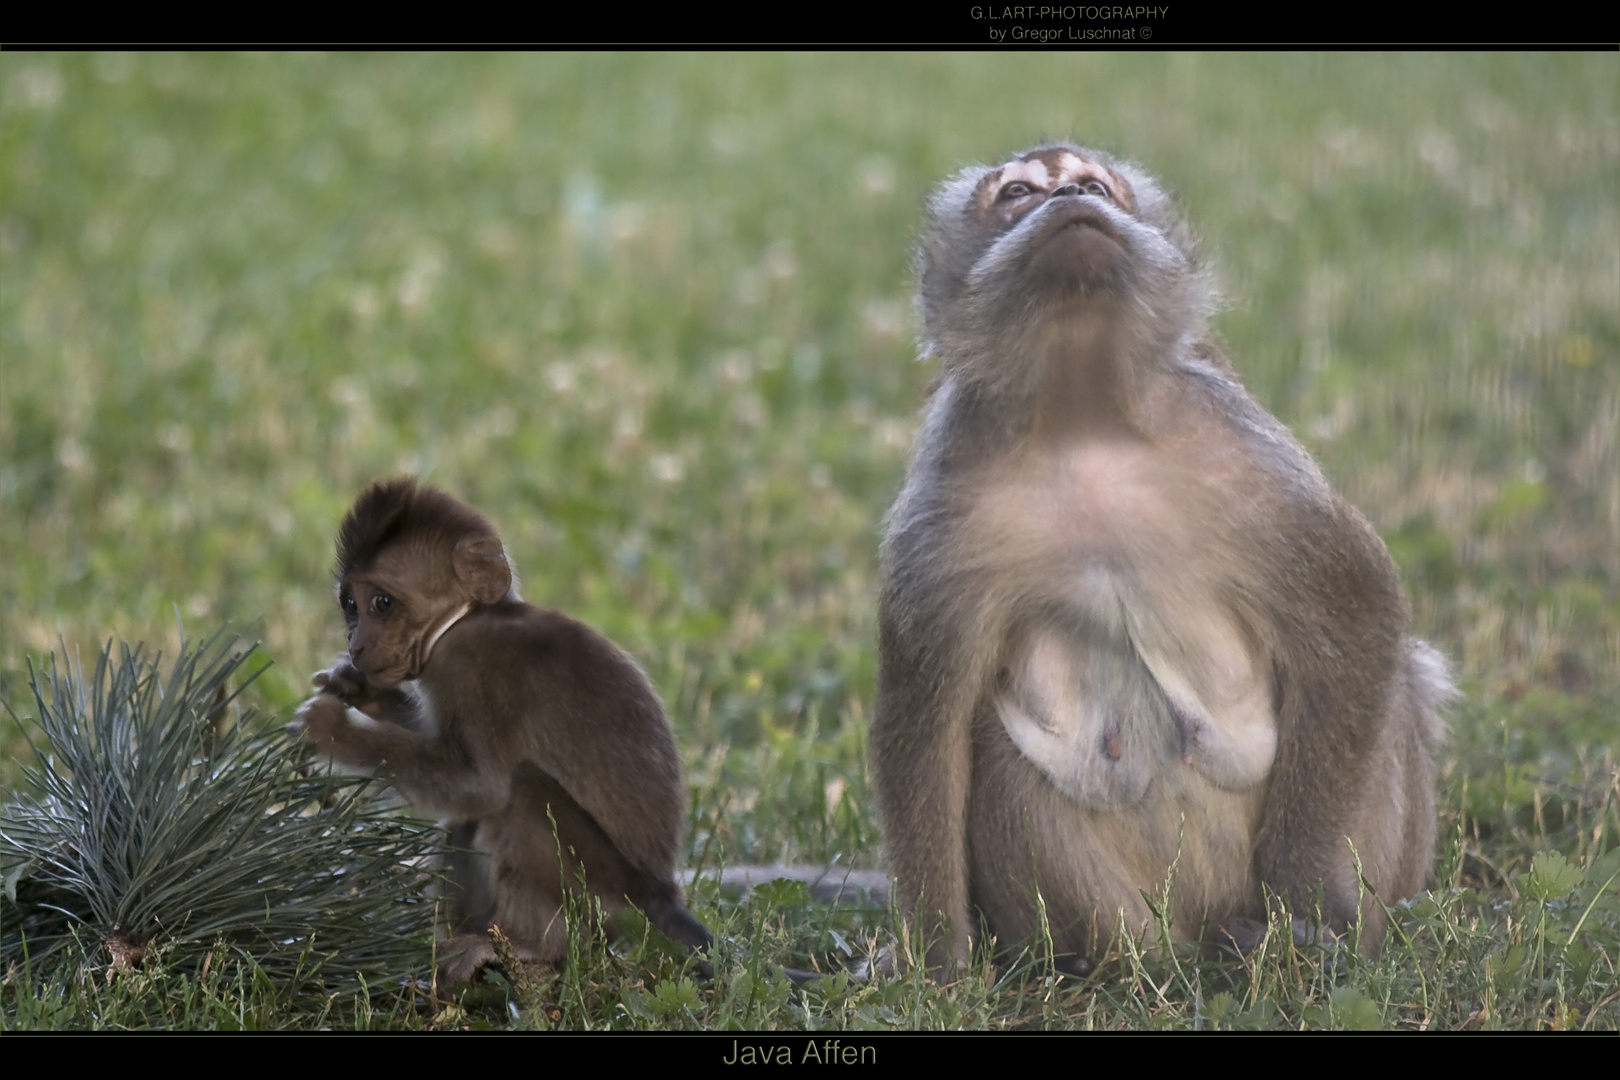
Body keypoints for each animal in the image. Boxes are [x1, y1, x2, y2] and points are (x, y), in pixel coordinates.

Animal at [298, 476, 716, 984]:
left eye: (381, 603)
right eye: (350, 606)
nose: (356, 643)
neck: (468, 619)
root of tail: (663, 896)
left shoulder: (474, 673)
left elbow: (480, 784)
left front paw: (333, 730)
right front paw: (359, 691)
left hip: (608, 897)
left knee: (520, 794)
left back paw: (530, 946)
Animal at [874, 139, 1458, 977]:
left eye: (1092, 185)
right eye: (1019, 194)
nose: (1072, 203)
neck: (1080, 414)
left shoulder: (1236, 446)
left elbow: (1358, 612)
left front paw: (1308, 897)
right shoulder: (944, 500)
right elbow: (927, 724)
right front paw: (934, 960)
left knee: (1399, 685)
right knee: (991, 738)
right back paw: (1134, 965)